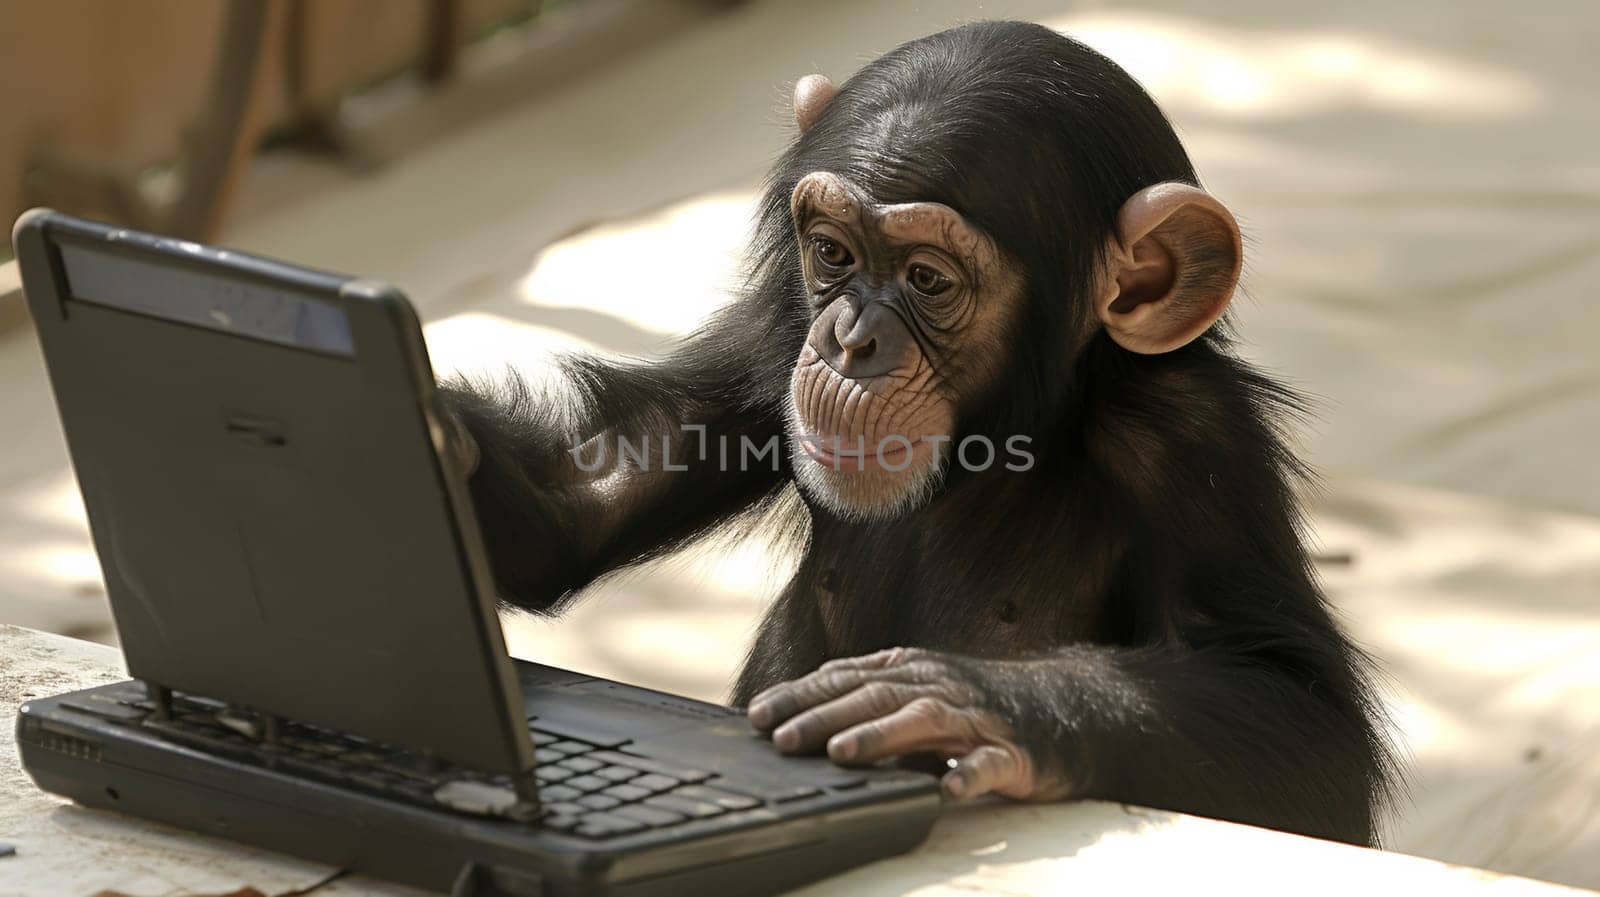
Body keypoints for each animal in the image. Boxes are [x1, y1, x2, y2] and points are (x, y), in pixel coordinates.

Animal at [444, 22, 1395, 844]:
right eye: (832, 253)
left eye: (928, 278)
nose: (849, 340)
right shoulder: (770, 341)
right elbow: (583, 504)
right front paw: (431, 433)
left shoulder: (1193, 438)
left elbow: (1301, 713)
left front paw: (965, 700)